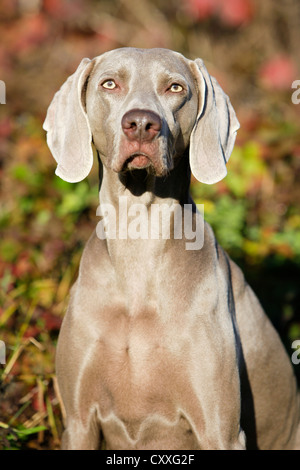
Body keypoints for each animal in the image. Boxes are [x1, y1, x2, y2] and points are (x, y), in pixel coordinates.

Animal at [43, 48, 298, 452]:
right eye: (109, 84)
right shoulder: (79, 422)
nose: (141, 124)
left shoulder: (221, 430)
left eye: (175, 87)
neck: (138, 246)